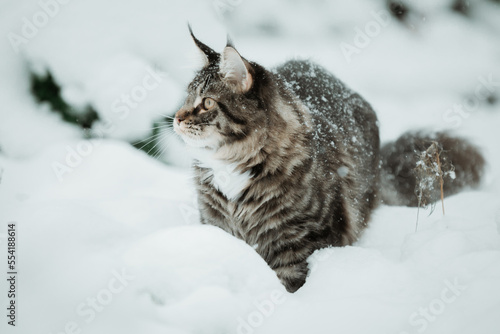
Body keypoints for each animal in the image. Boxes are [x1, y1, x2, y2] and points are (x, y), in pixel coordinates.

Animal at [172, 28, 484, 292]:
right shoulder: (219, 227)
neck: (233, 167)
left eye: (207, 103)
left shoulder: (300, 243)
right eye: (186, 98)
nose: (176, 118)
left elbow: (289, 287)